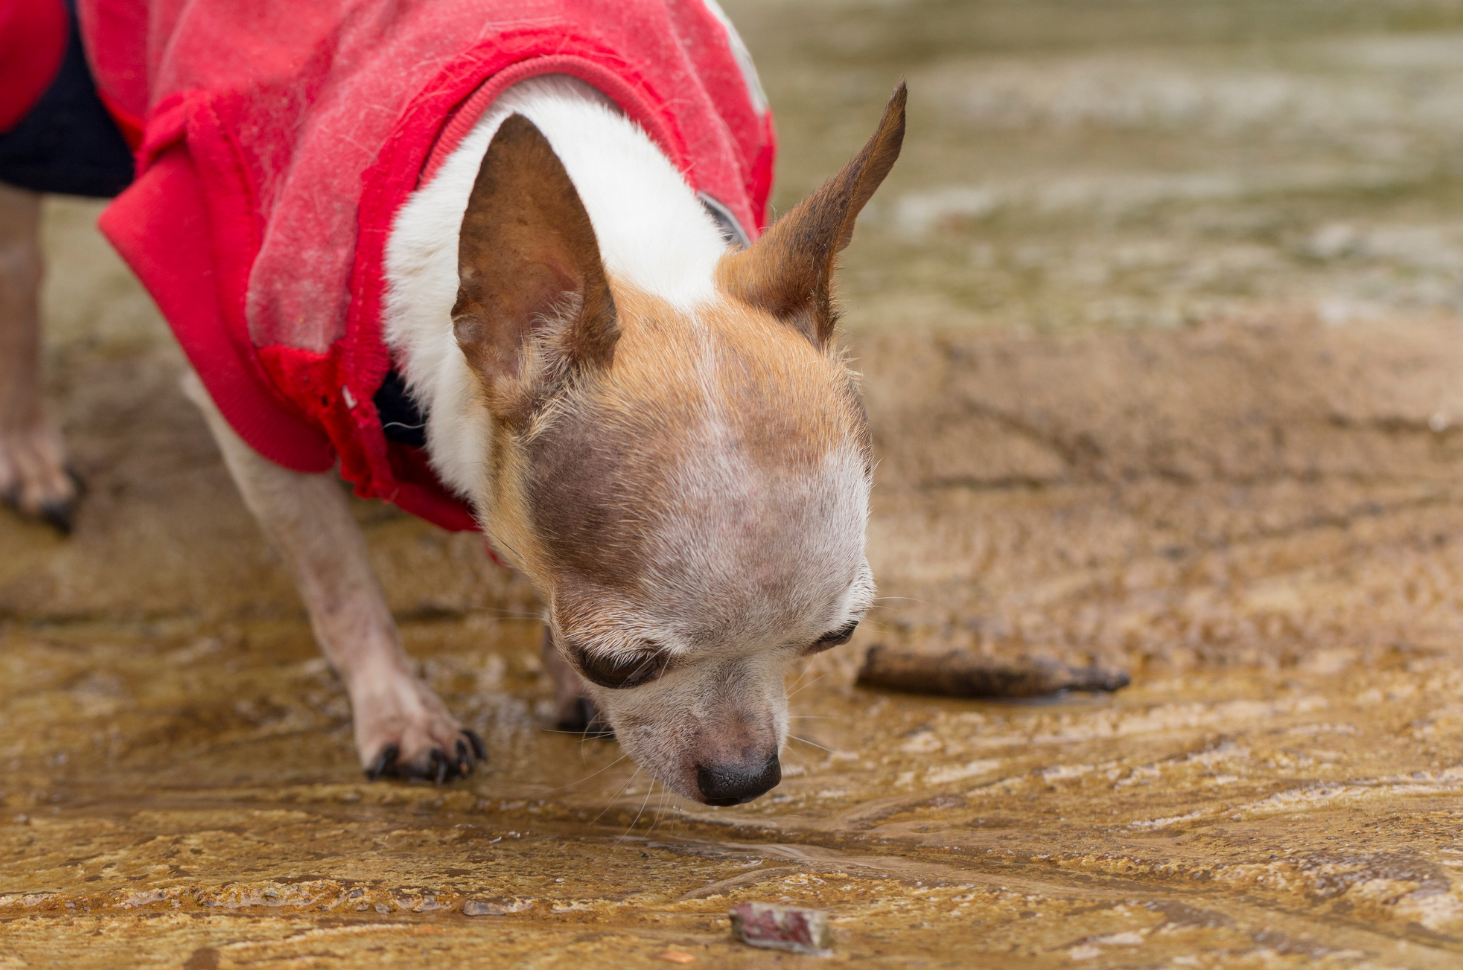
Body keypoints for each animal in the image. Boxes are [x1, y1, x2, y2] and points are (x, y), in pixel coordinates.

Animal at [0, 0, 901, 807]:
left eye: (836, 637)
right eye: (617, 663)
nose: (746, 780)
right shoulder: (244, 385)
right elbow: (337, 580)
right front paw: (400, 714)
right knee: (20, 272)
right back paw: (29, 454)